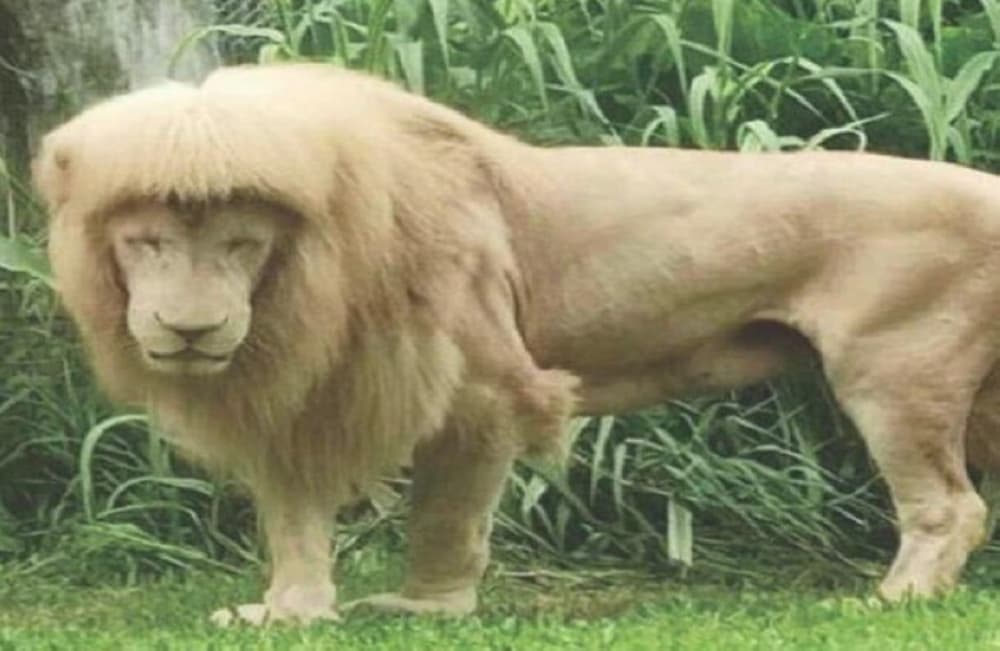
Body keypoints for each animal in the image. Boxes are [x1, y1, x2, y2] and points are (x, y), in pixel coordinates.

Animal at [34, 63, 1000, 625]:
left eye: (241, 243)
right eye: (145, 242)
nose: (189, 328)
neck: (304, 285)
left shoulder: (483, 382)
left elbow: (446, 511)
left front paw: (428, 607)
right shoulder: (301, 394)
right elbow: (294, 519)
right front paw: (290, 611)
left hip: (894, 371)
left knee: (952, 506)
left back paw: (892, 598)